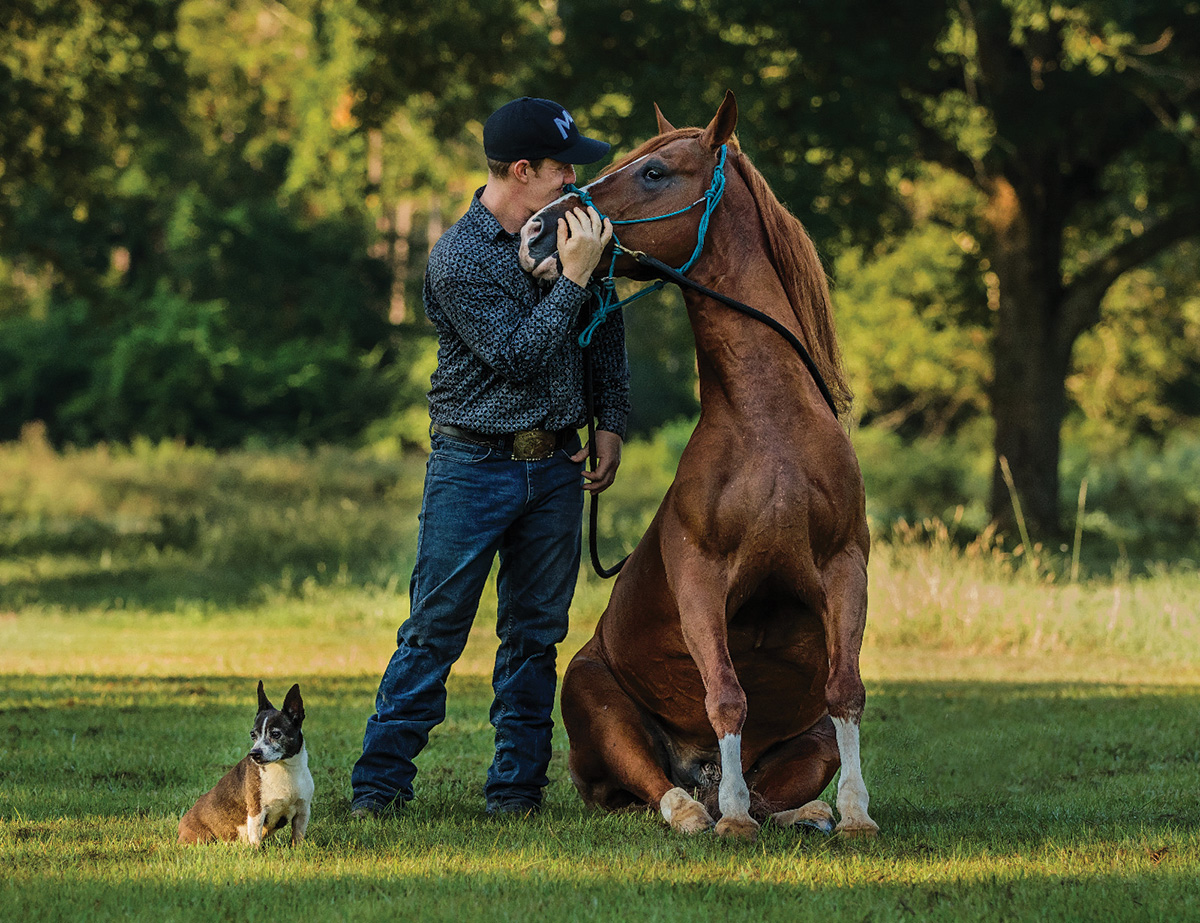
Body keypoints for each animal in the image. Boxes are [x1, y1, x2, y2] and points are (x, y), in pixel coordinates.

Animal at [518, 91, 878, 840]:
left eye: (654, 171)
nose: (535, 233)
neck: (770, 429)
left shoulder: (844, 569)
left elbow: (846, 689)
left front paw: (858, 813)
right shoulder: (701, 578)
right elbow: (725, 694)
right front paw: (733, 819)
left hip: (811, 742)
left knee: (782, 784)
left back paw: (803, 810)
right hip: (591, 693)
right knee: (659, 787)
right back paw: (700, 808)